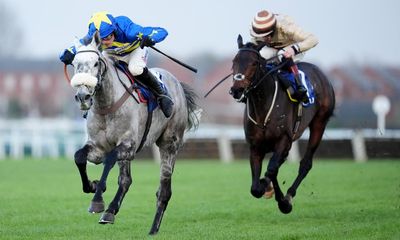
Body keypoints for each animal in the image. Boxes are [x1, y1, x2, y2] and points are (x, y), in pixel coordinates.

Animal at [230, 35, 336, 212]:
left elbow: (271, 171)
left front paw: (280, 199)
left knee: (305, 164)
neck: (263, 108)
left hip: (319, 123)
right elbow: (256, 187)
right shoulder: (255, 146)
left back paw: (289, 195)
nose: (236, 90)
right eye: (234, 61)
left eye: (254, 63)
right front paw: (267, 188)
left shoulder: (283, 139)